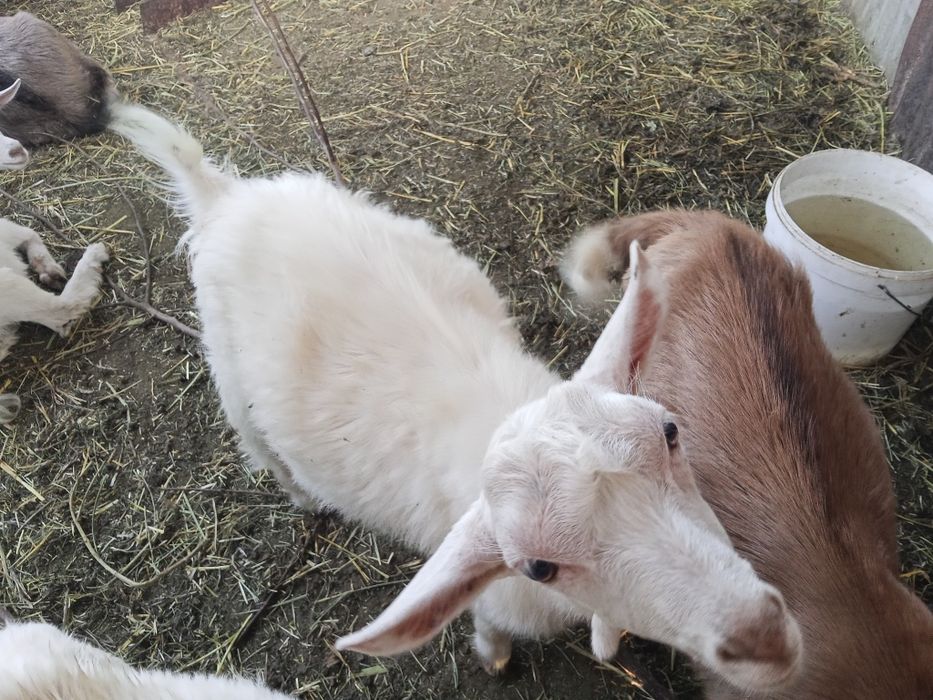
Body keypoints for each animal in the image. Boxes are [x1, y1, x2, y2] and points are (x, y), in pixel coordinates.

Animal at [110, 102, 801, 694]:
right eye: (538, 567)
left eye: (670, 432)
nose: (764, 638)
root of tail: (223, 195)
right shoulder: (497, 594)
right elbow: (491, 627)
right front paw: (494, 657)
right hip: (225, 362)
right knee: (256, 441)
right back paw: (303, 497)